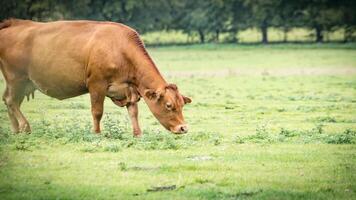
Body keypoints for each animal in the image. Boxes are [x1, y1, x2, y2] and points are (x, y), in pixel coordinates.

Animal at [0, 19, 192, 136]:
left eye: (182, 104)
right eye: (169, 105)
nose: (183, 128)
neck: (120, 49)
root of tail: (14, 24)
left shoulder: (130, 89)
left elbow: (133, 112)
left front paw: (138, 134)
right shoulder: (96, 85)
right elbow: (97, 112)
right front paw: (97, 133)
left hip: (24, 83)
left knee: (10, 101)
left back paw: (15, 130)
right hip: (16, 79)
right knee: (11, 101)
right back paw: (25, 127)